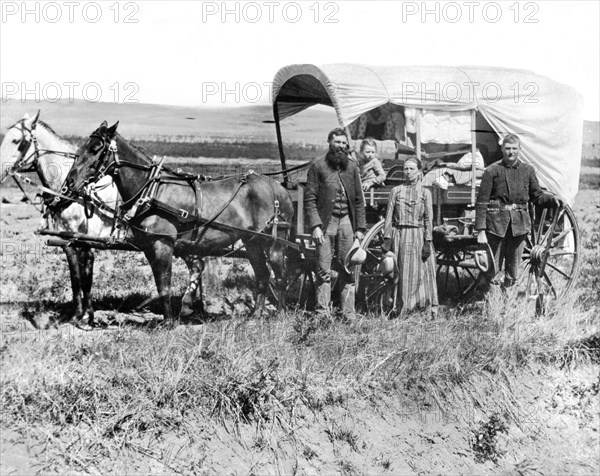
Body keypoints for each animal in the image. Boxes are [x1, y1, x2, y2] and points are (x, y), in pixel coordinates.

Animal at [0, 112, 120, 326]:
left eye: (17, 141)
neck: (75, 192)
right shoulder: (67, 241)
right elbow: (75, 278)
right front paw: (77, 314)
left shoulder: (87, 242)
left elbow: (87, 278)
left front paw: (89, 317)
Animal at [64, 121, 294, 326]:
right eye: (82, 148)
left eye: (96, 149)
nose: (70, 183)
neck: (152, 191)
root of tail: (278, 188)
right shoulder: (149, 246)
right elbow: (161, 284)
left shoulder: (163, 244)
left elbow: (164, 285)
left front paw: (169, 322)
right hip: (252, 241)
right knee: (263, 275)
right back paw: (255, 316)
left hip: (275, 242)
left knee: (281, 277)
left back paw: (280, 314)